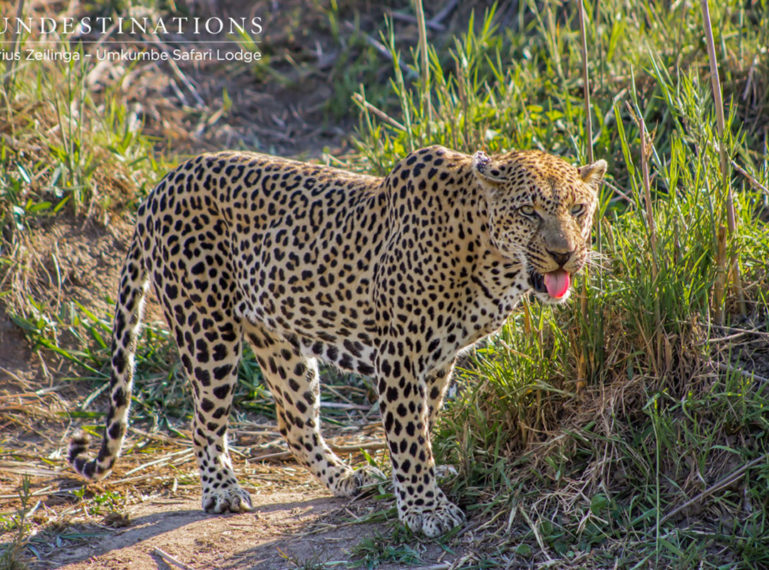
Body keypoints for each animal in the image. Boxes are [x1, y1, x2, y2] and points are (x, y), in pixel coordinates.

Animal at [67, 144, 608, 536]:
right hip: (208, 331)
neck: (492, 260)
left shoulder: (438, 358)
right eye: (530, 210)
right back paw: (222, 491)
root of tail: (161, 184)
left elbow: (425, 422)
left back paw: (350, 479)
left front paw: (423, 483)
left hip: (281, 342)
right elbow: (409, 434)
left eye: (579, 208)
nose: (565, 254)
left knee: (294, 422)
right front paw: (424, 509)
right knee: (204, 422)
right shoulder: (401, 354)